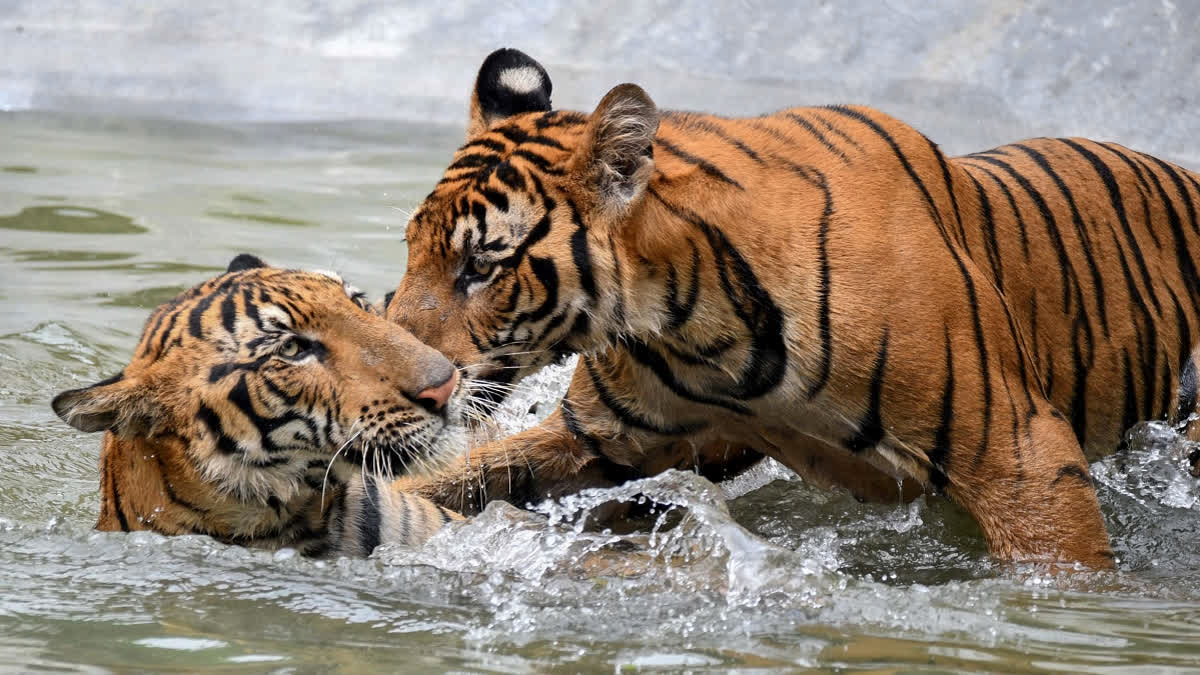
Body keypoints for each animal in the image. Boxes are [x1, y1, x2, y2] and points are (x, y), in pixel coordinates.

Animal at [387, 47, 1200, 568]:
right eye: (412, 249)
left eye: (480, 266)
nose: (413, 374)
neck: (689, 329)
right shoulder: (603, 440)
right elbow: (446, 480)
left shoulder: (1018, 452)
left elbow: (1063, 571)